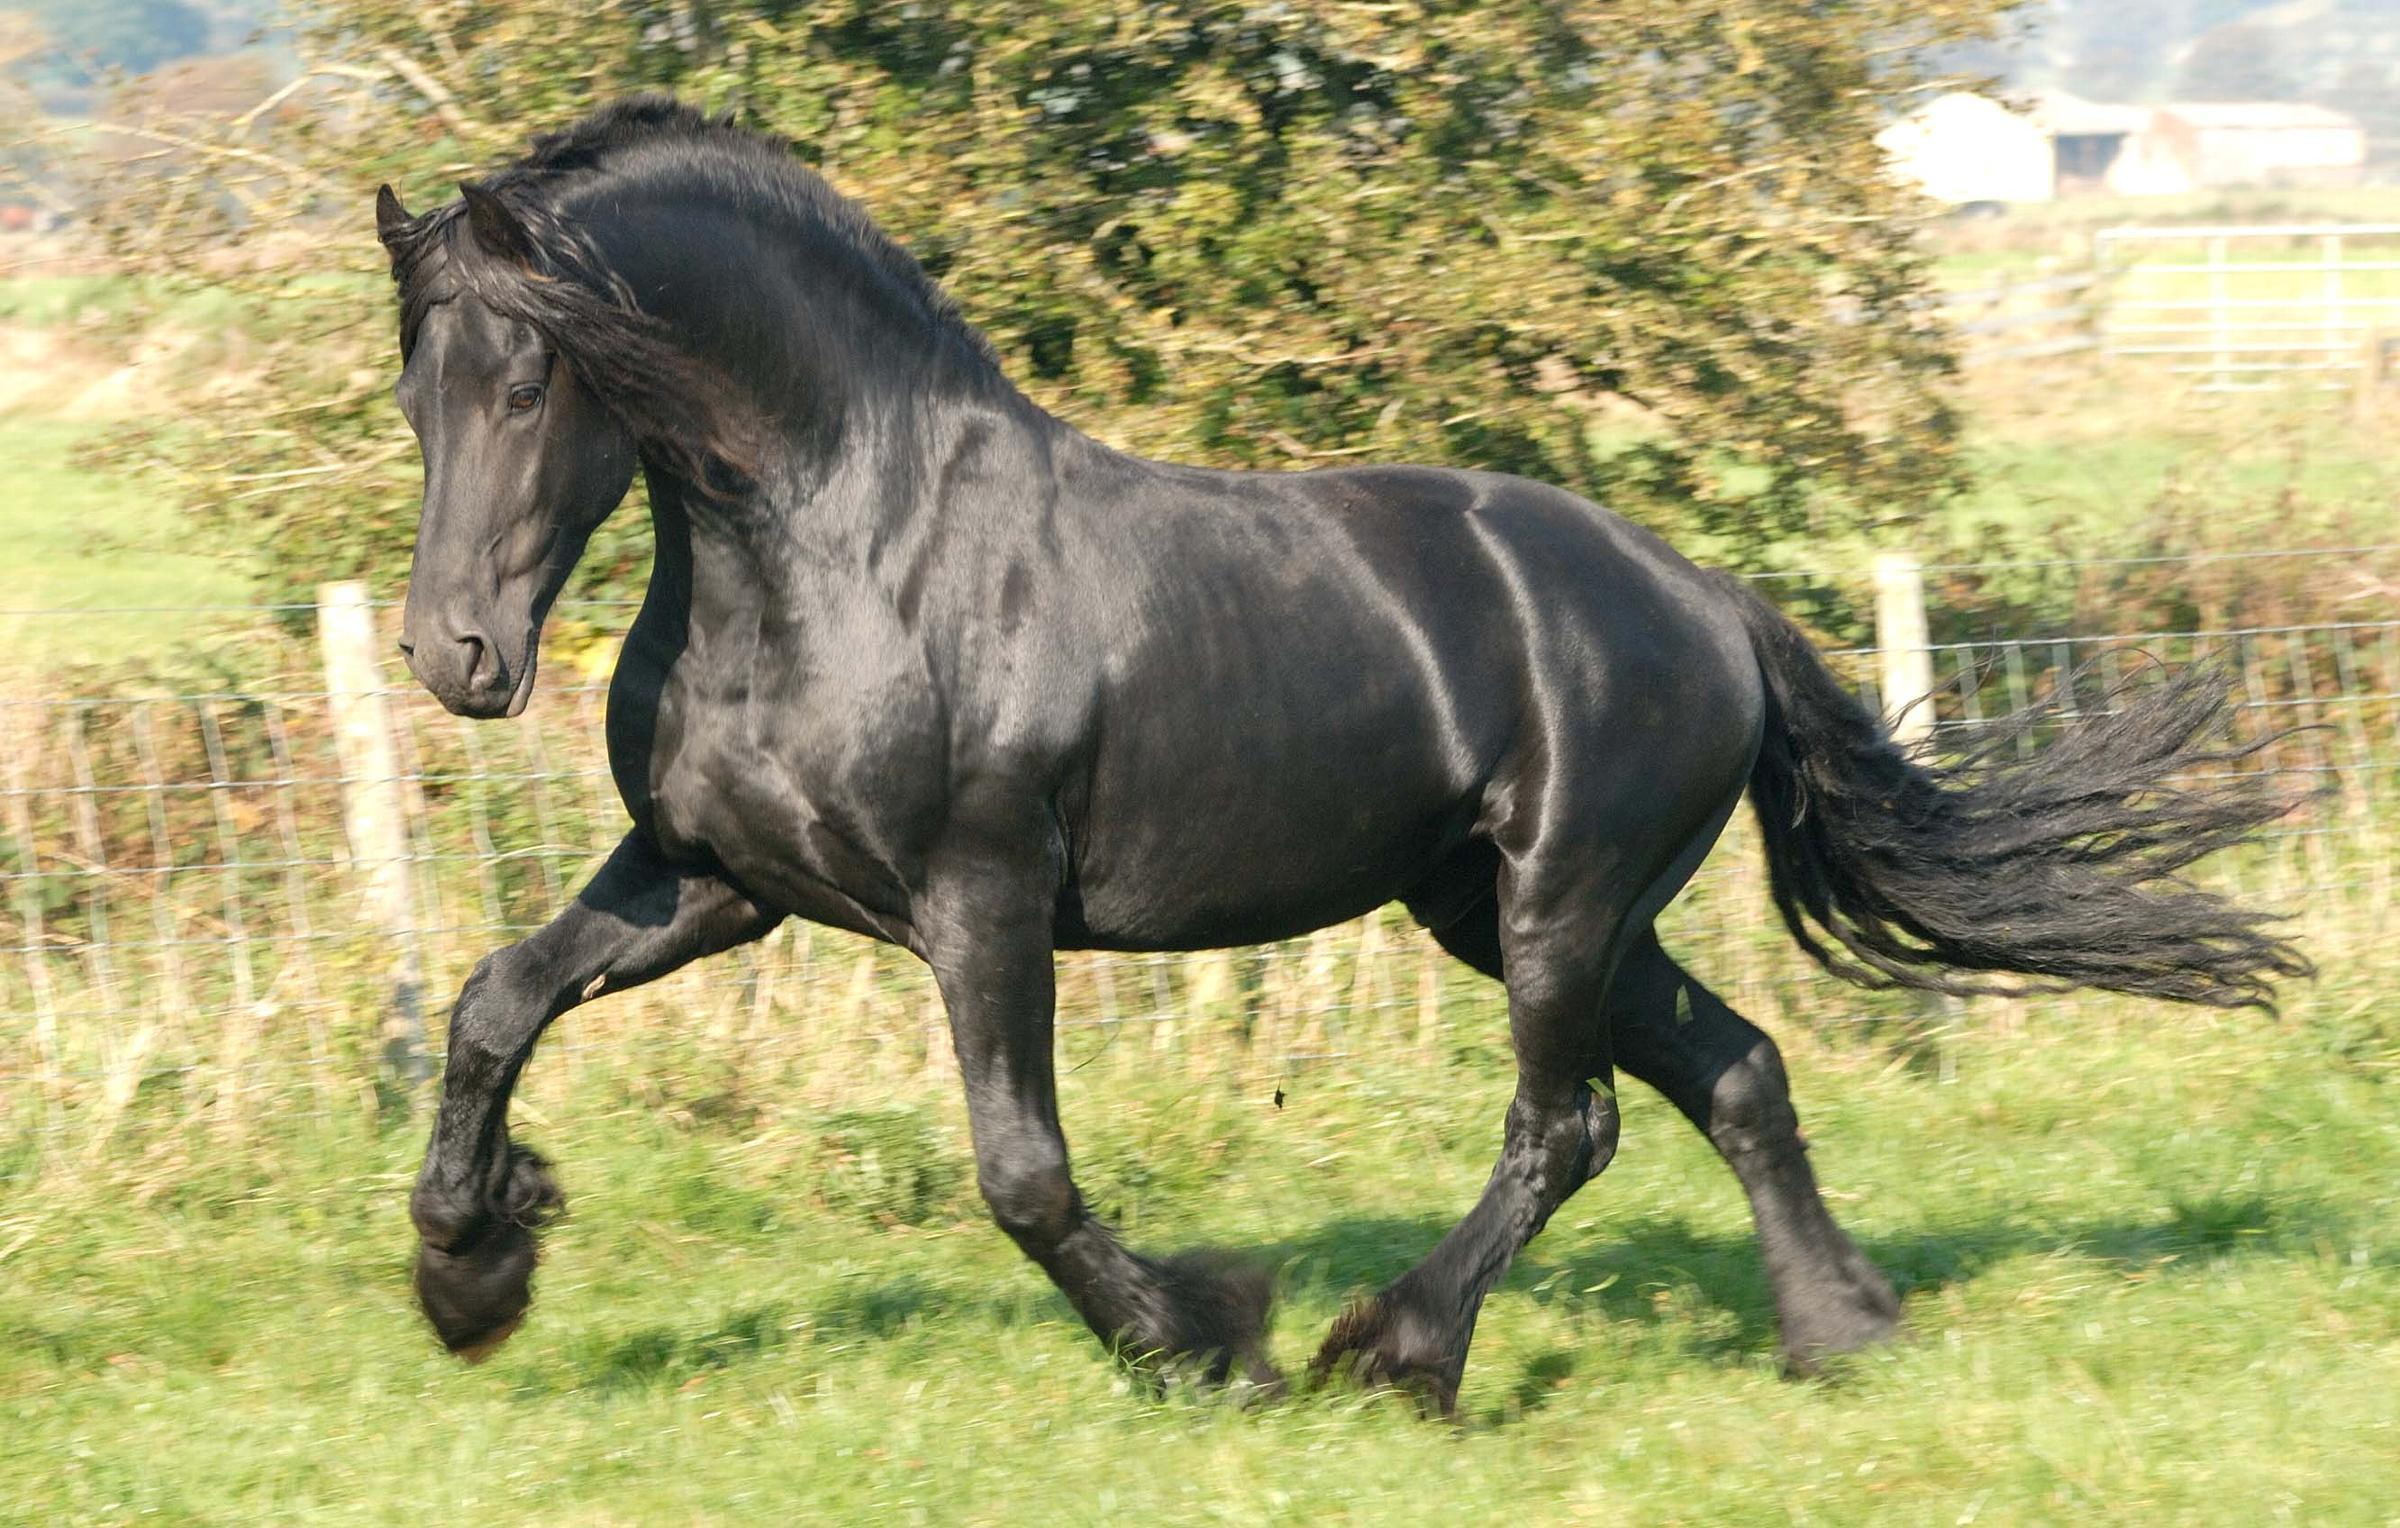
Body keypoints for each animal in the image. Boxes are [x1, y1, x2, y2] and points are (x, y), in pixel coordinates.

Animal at [374, 97, 2307, 1415]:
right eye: (414, 389)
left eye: (534, 377)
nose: (455, 658)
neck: (846, 546)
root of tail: (1705, 599)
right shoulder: (715, 880)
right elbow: (490, 1004)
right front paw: (473, 1271)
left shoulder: (979, 899)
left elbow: (1024, 1173)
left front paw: (1199, 1338)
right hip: (1507, 908)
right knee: (1738, 1071)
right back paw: (1837, 1329)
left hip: (1557, 899)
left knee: (1572, 1121)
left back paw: (1393, 1349)